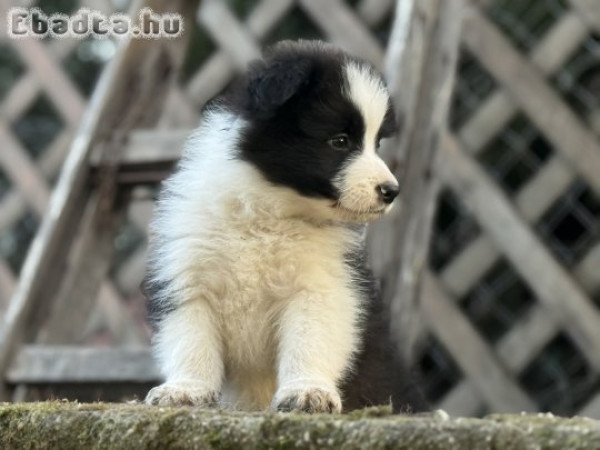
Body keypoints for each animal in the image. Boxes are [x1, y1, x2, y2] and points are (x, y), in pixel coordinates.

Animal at [144, 40, 426, 414]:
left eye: (377, 143)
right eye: (340, 141)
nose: (391, 191)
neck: (269, 212)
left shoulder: (320, 286)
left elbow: (309, 340)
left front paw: (308, 392)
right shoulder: (188, 274)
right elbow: (191, 338)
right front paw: (184, 390)